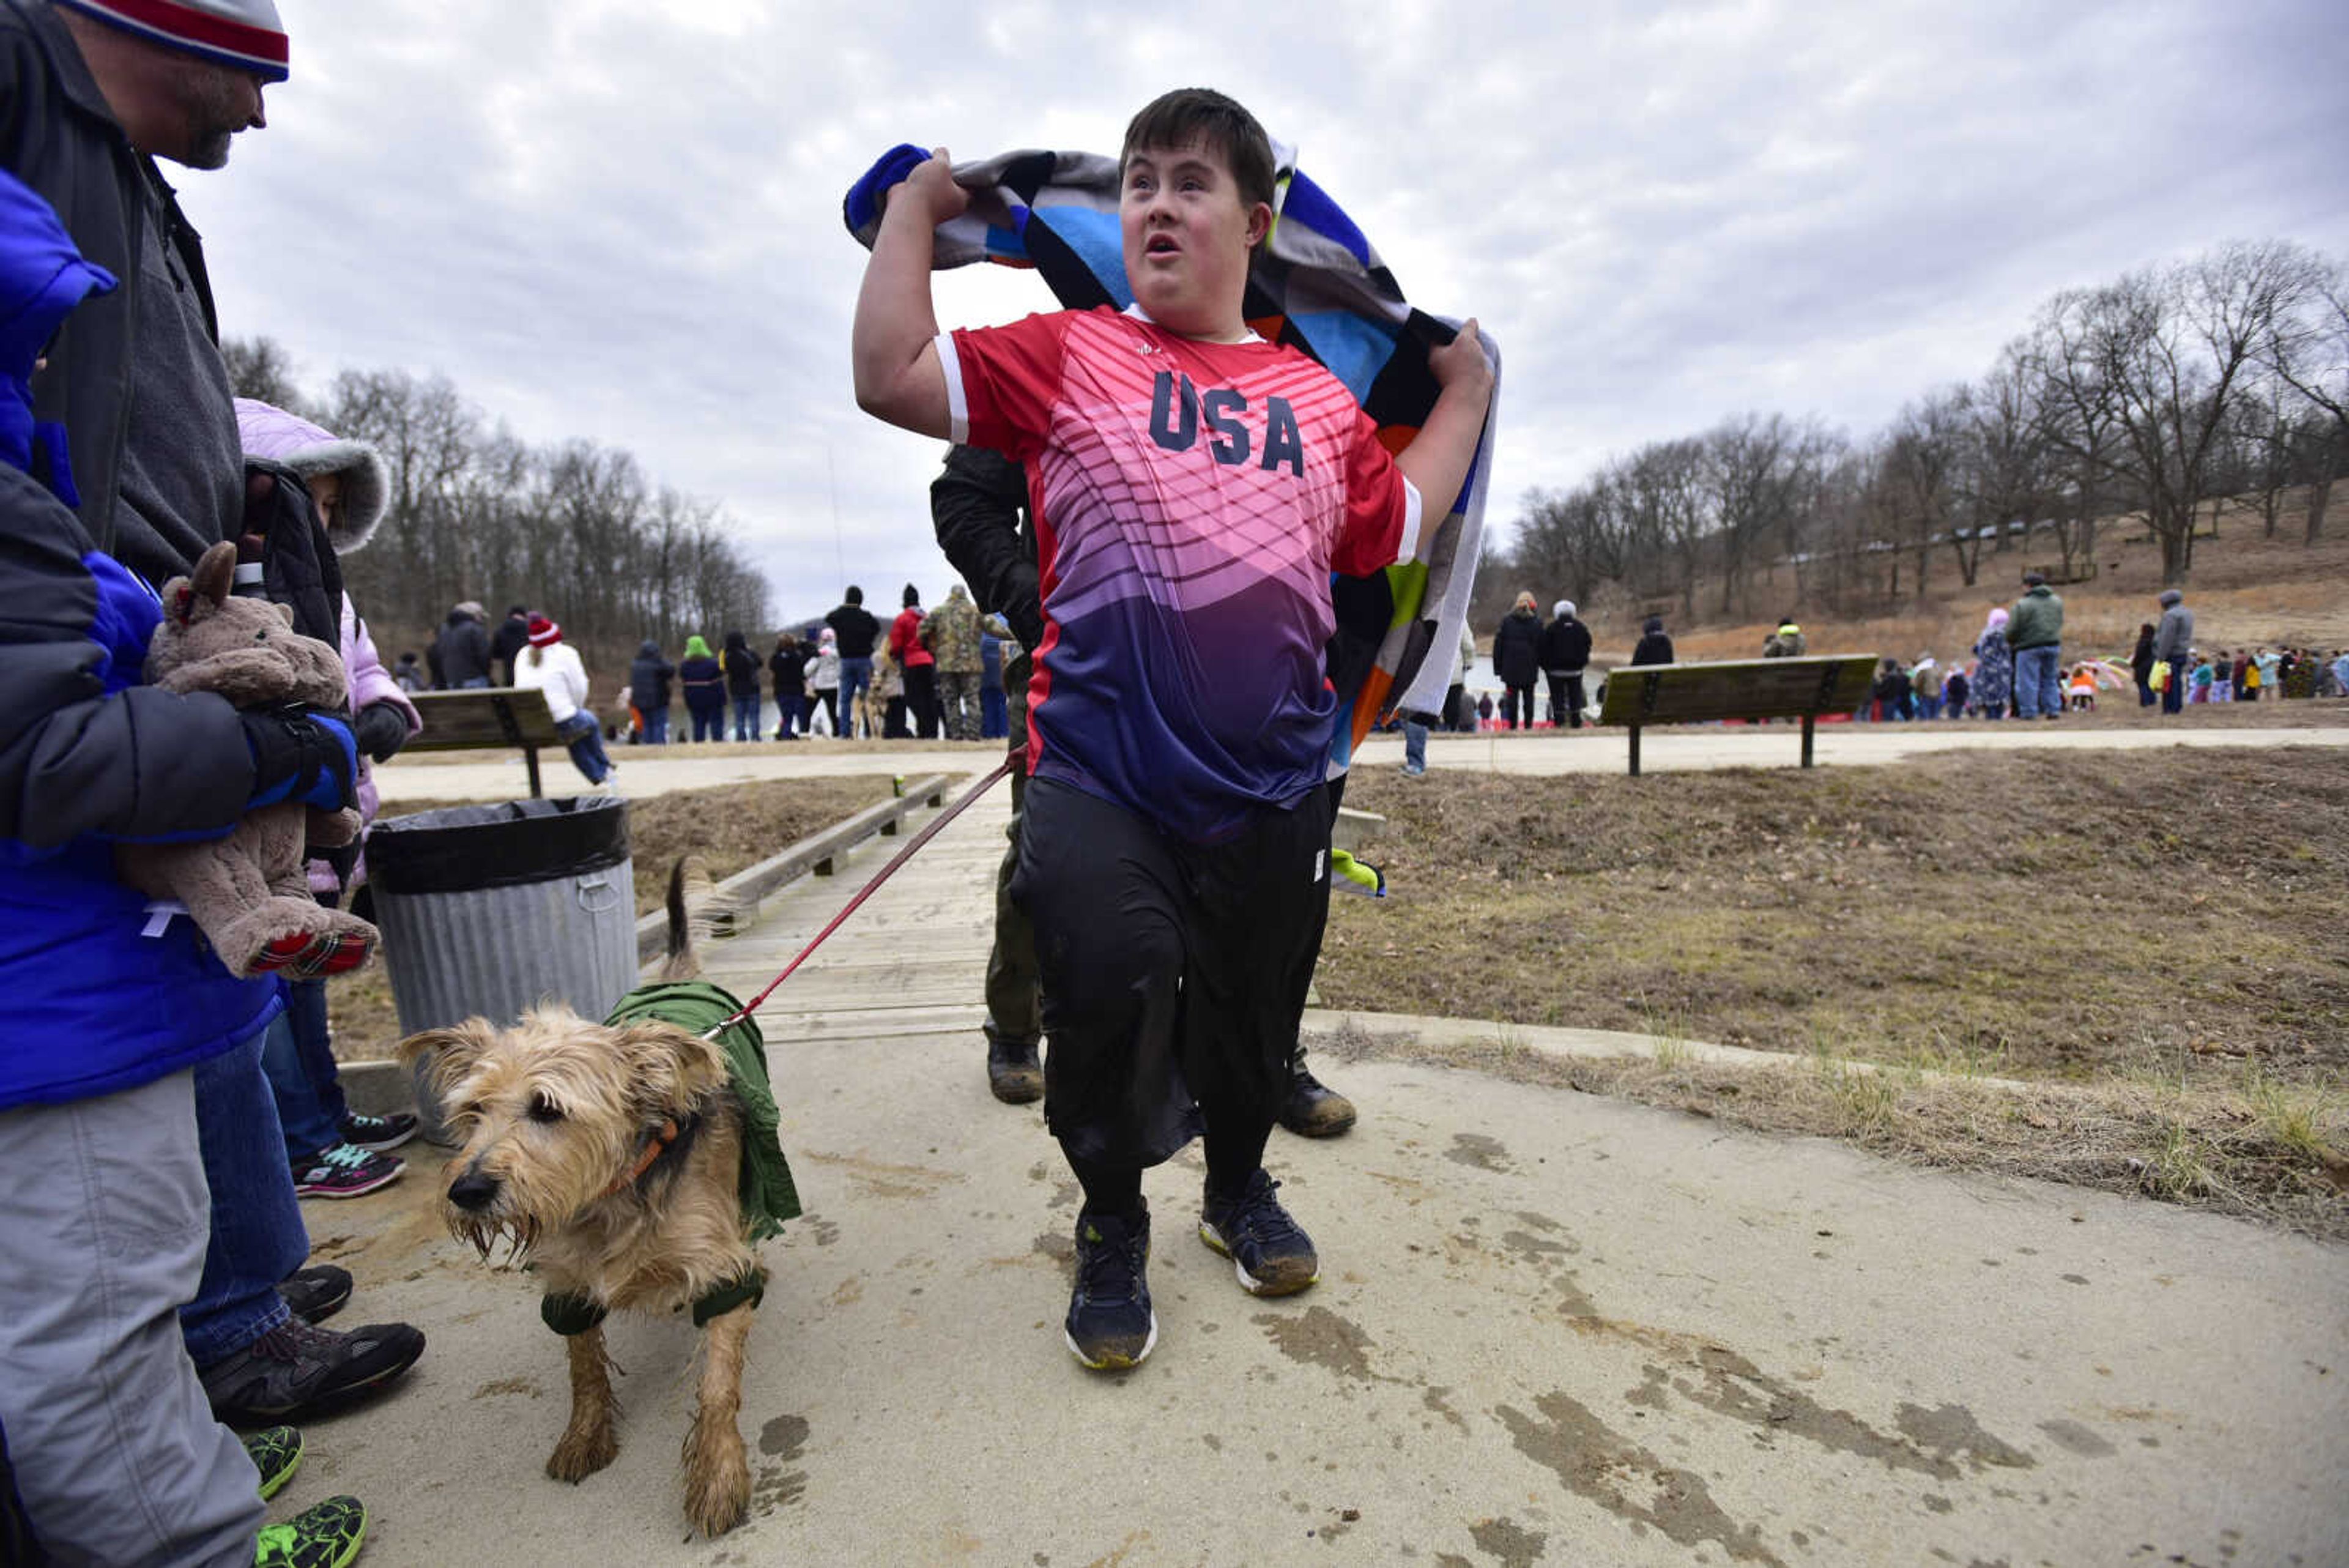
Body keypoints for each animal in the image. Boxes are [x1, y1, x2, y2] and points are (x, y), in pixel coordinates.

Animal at [401, 860, 798, 1533]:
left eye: (547, 1108)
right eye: (473, 1112)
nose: (468, 1189)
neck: (612, 1192)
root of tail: (674, 975)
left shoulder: (718, 1269)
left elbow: (718, 1382)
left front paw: (718, 1473)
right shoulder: (568, 1284)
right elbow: (583, 1369)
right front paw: (585, 1437)